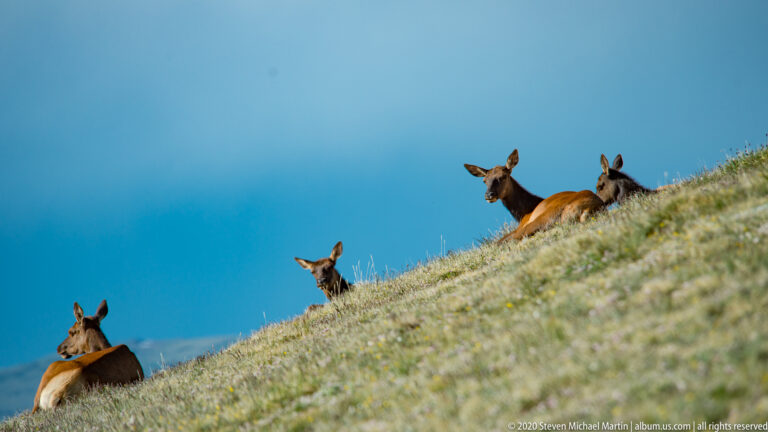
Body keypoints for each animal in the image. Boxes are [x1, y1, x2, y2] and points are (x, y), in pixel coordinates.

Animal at [465, 149, 605, 243]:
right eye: (484, 181)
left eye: (503, 176)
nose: (489, 194)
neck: (523, 212)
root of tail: (589, 209)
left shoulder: (524, 223)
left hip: (544, 218)